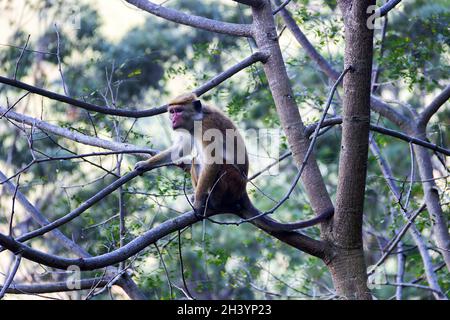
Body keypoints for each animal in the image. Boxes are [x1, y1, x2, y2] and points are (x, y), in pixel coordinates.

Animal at [134, 92, 334, 230]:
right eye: (171, 111)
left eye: (178, 110)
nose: (172, 119)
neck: (198, 117)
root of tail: (243, 188)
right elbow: (181, 149)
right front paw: (145, 164)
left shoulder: (206, 127)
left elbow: (213, 162)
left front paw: (198, 202)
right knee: (197, 160)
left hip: (232, 183)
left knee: (221, 165)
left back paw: (212, 201)